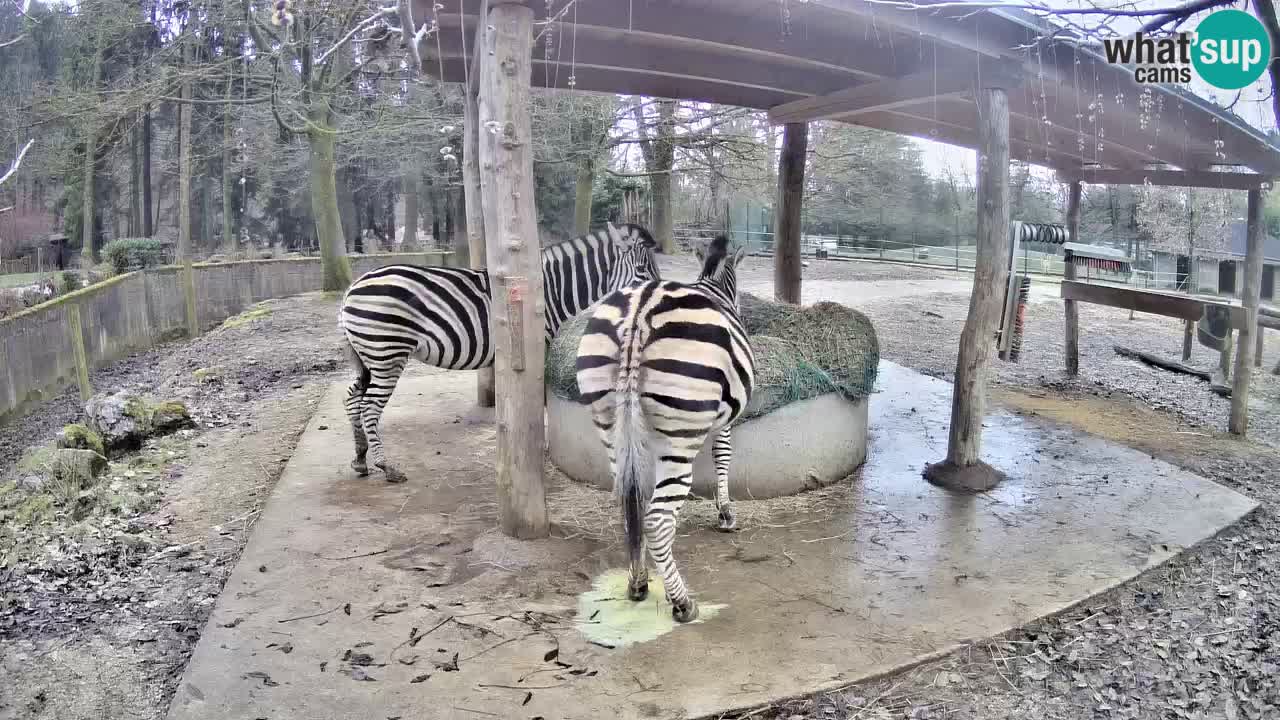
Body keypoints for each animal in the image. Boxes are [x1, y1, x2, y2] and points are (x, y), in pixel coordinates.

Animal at [340, 220, 660, 481]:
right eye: (642, 272)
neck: (555, 292)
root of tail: (352, 287)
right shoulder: (540, 346)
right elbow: (541, 401)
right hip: (386, 354)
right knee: (369, 406)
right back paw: (386, 467)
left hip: (367, 358)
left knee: (352, 398)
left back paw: (360, 458)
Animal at [576, 233, 752, 620]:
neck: (713, 284)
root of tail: (638, 315)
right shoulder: (725, 417)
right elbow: (723, 455)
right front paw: (725, 513)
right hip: (678, 438)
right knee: (656, 518)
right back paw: (682, 602)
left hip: (610, 425)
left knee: (629, 505)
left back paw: (638, 582)